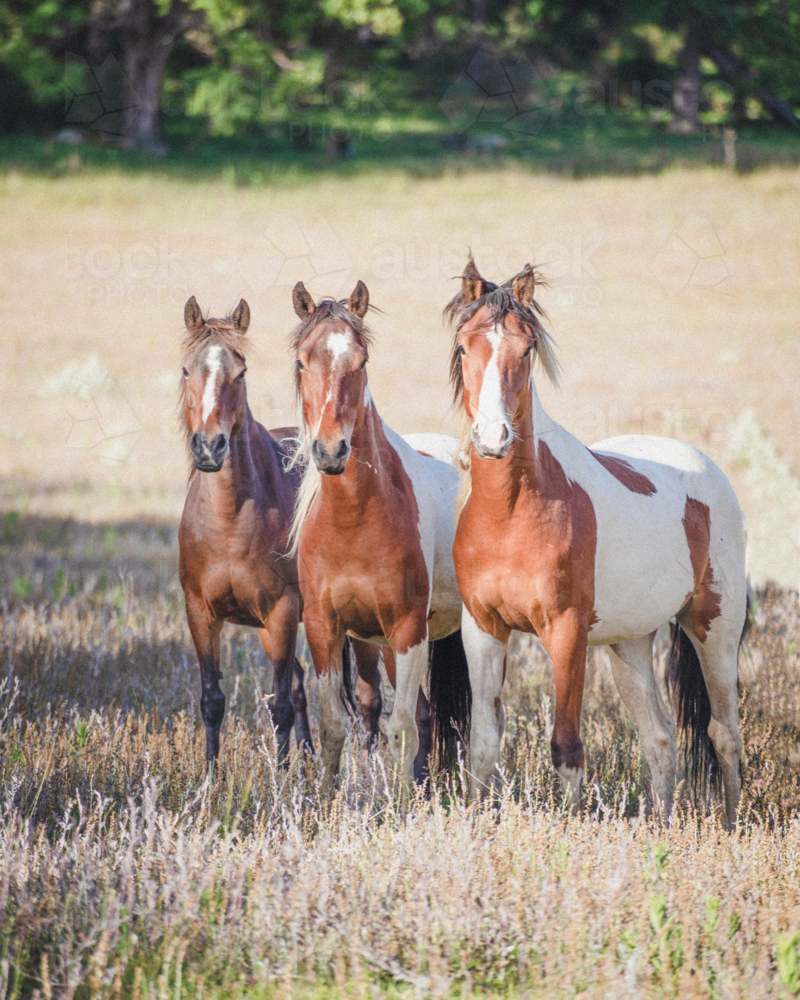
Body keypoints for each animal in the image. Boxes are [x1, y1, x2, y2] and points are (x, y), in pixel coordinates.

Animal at [179, 294, 384, 764]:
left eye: (240, 372)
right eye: (186, 369)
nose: (210, 447)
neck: (228, 522)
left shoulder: (282, 612)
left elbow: (282, 706)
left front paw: (282, 778)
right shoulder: (201, 613)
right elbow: (213, 701)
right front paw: (211, 776)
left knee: (369, 700)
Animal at [290, 276, 472, 788]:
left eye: (362, 360)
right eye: (301, 360)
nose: (331, 450)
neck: (355, 520)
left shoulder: (407, 628)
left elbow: (402, 729)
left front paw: (403, 803)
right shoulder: (325, 628)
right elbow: (334, 725)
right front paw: (325, 801)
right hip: (378, 644)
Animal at [446, 258, 748, 828]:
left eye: (526, 349)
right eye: (463, 347)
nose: (493, 438)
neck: (512, 512)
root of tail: (706, 471)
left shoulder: (566, 633)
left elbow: (566, 746)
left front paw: (569, 828)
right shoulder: (484, 629)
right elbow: (482, 745)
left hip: (713, 628)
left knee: (724, 734)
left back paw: (731, 824)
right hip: (629, 643)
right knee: (660, 740)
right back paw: (663, 824)